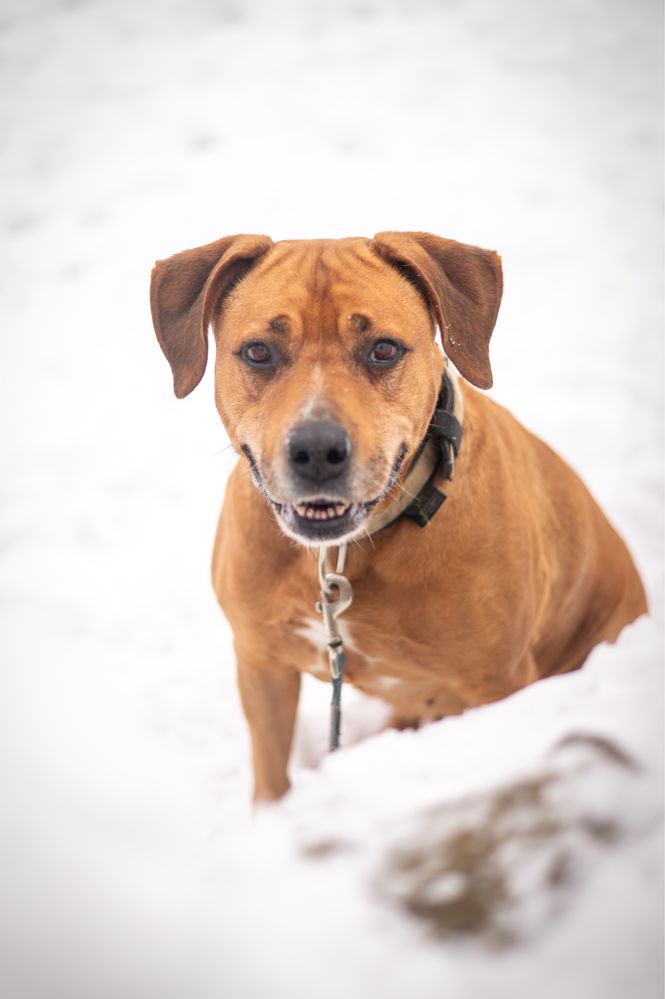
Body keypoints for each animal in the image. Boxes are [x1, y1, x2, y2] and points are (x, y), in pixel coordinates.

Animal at [149, 230, 644, 800]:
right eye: (258, 352)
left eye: (383, 349)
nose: (316, 450)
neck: (340, 556)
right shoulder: (261, 663)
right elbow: (272, 777)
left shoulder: (498, 682)